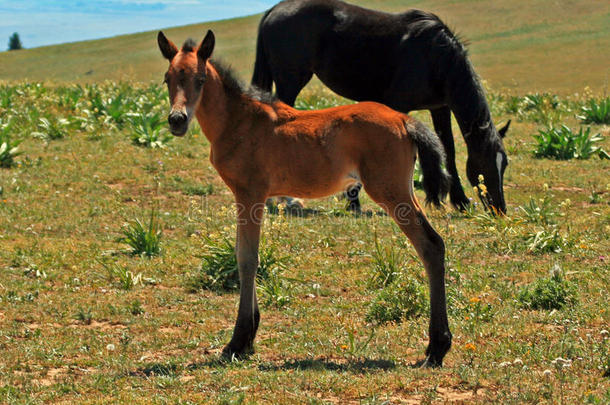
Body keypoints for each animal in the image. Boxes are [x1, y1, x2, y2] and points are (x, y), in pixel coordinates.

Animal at [157, 30, 452, 364]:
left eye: (201, 79)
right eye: (168, 79)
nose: (177, 120)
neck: (238, 121)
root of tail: (404, 119)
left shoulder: (251, 194)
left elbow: (248, 259)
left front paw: (238, 341)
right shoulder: (246, 197)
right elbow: (243, 253)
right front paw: (248, 338)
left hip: (390, 191)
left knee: (430, 245)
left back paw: (436, 347)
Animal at [251, 0, 508, 213]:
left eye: (504, 164)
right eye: (484, 165)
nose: (500, 209)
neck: (435, 58)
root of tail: (275, 10)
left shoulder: (440, 108)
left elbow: (449, 150)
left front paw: (460, 201)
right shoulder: (397, 104)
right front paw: (354, 200)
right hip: (290, 81)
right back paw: (288, 199)